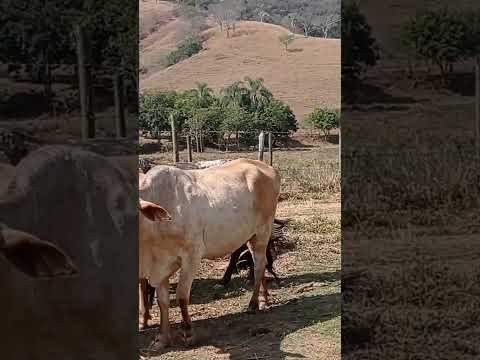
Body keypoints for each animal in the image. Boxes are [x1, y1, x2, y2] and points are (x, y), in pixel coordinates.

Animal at [138, 158, 282, 348]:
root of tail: (265, 166)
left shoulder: (192, 256)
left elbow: (182, 294)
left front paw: (188, 331)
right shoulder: (160, 265)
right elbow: (163, 302)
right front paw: (162, 337)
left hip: (262, 232)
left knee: (258, 266)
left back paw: (253, 304)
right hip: (251, 236)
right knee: (262, 262)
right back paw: (264, 297)